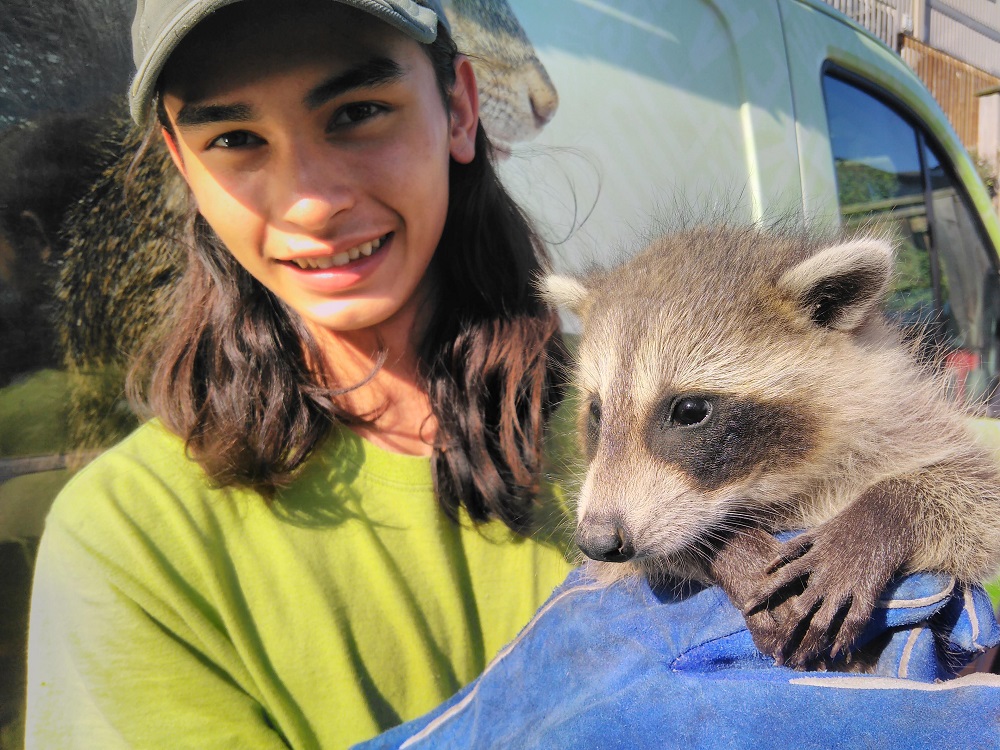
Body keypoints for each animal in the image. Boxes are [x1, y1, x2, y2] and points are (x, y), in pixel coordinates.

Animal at [540, 225, 1000, 668]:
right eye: (597, 411)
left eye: (689, 410)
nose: (596, 541)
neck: (772, 488)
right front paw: (732, 548)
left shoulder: (908, 419)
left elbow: (978, 495)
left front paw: (878, 518)